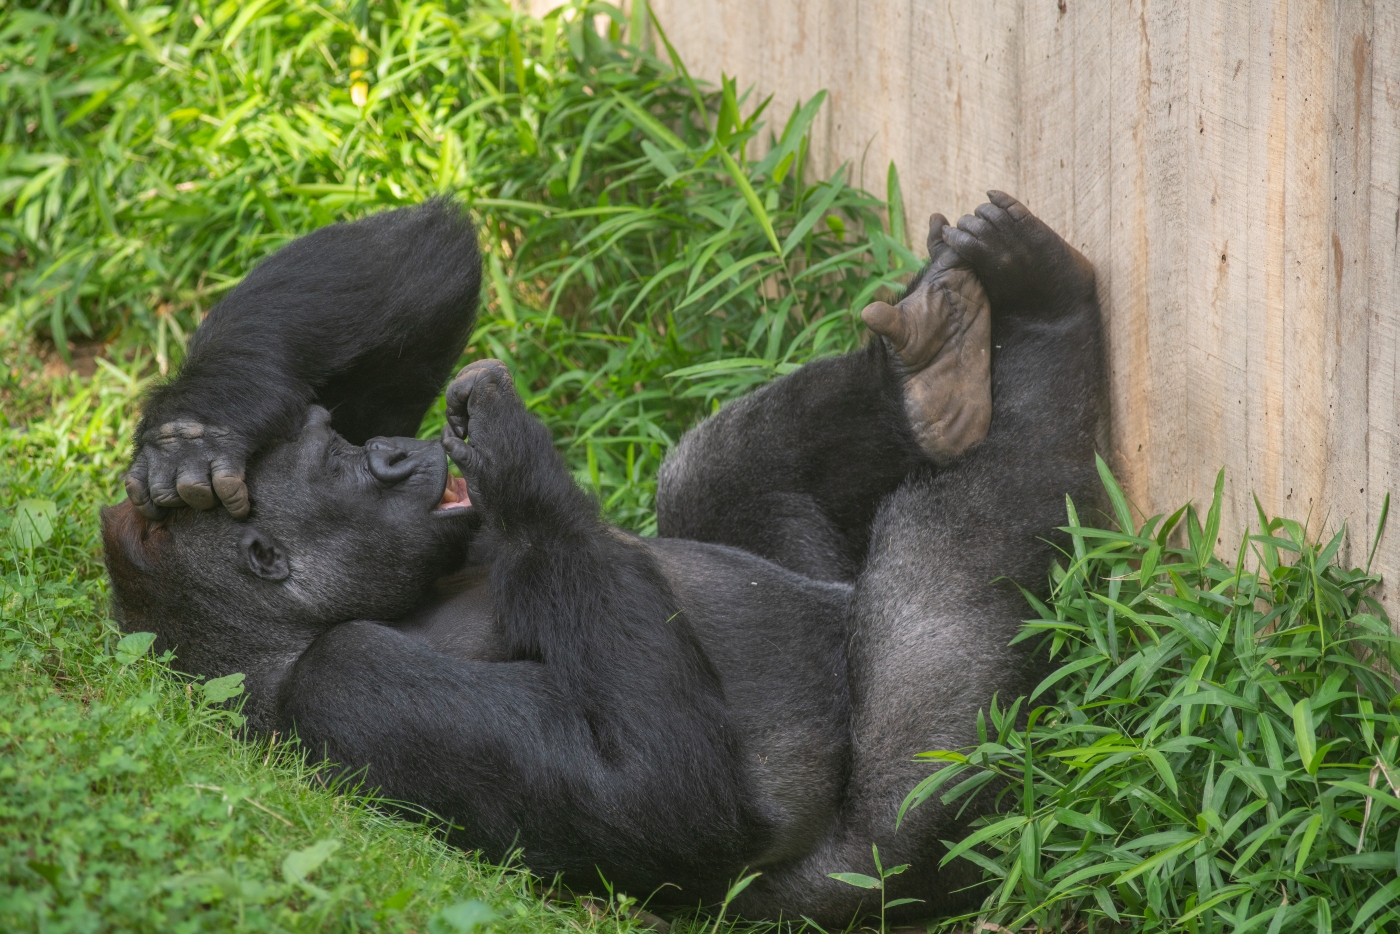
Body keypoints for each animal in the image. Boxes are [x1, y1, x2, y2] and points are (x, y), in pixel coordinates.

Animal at [101, 191, 1103, 929]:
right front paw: (518, 462)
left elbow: (427, 250)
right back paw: (1047, 323)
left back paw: (935, 366)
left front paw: (200, 429)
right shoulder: (339, 682)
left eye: (334, 442)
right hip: (865, 876)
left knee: (712, 463)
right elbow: (661, 798)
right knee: (939, 644)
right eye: (340, 467)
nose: (389, 451)